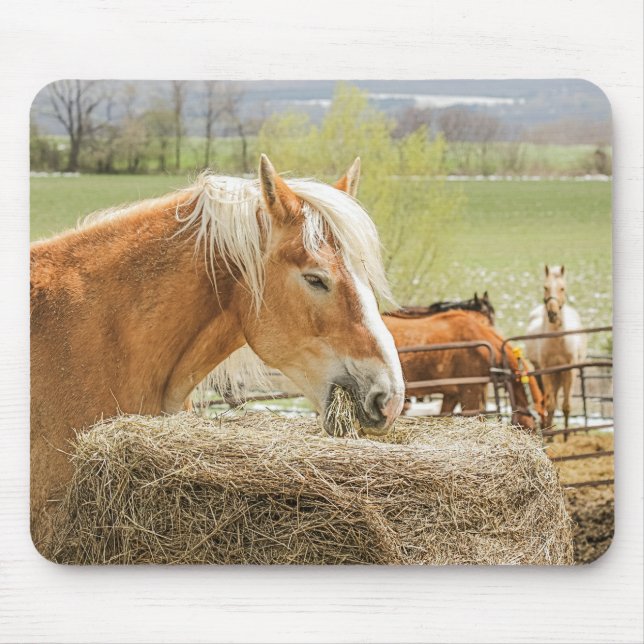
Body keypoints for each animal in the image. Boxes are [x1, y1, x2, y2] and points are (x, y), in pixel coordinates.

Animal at [525, 265, 586, 430]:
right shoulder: (547, 371)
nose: (552, 313)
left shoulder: (569, 371)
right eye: (545, 287)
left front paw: (566, 435)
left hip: (560, 374)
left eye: (562, 288)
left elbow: (566, 406)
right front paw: (548, 431)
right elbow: (550, 405)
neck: (558, 341)